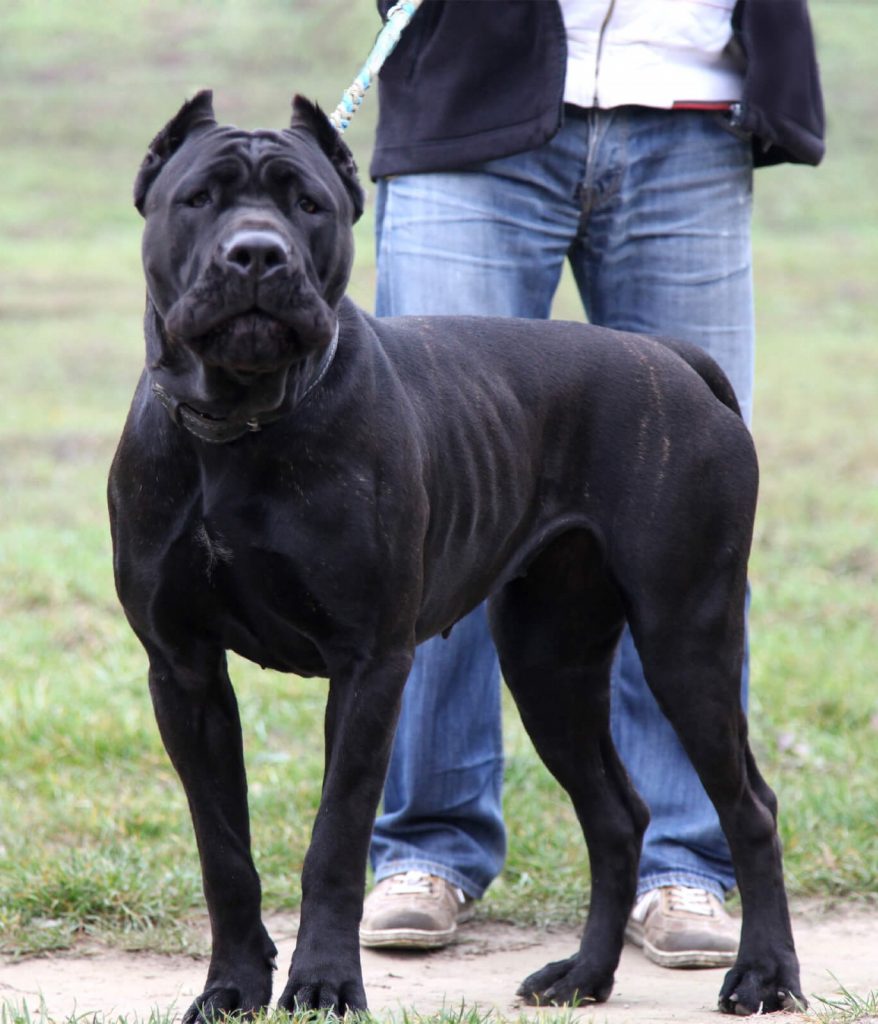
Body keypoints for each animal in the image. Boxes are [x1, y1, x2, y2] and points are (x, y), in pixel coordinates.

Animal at [109, 94, 803, 1015]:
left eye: (308, 205)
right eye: (198, 199)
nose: (257, 252)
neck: (241, 425)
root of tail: (675, 360)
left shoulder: (369, 665)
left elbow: (335, 838)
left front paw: (325, 983)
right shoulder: (184, 673)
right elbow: (224, 851)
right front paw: (231, 987)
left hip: (685, 639)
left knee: (748, 805)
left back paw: (765, 974)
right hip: (549, 661)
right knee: (616, 816)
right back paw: (582, 976)